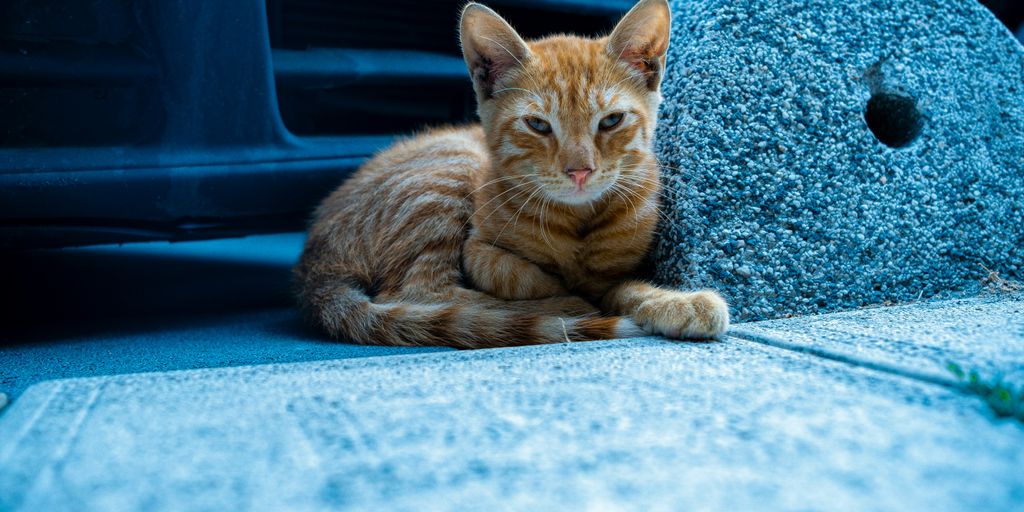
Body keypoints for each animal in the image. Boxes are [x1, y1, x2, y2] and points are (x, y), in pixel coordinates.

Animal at [294, 0, 729, 348]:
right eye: (537, 125)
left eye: (611, 121)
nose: (580, 171)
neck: (577, 222)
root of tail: (313, 266)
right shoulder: (479, 250)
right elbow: (518, 276)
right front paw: (570, 299)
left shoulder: (619, 269)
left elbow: (626, 287)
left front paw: (675, 301)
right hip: (446, 178)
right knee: (419, 294)